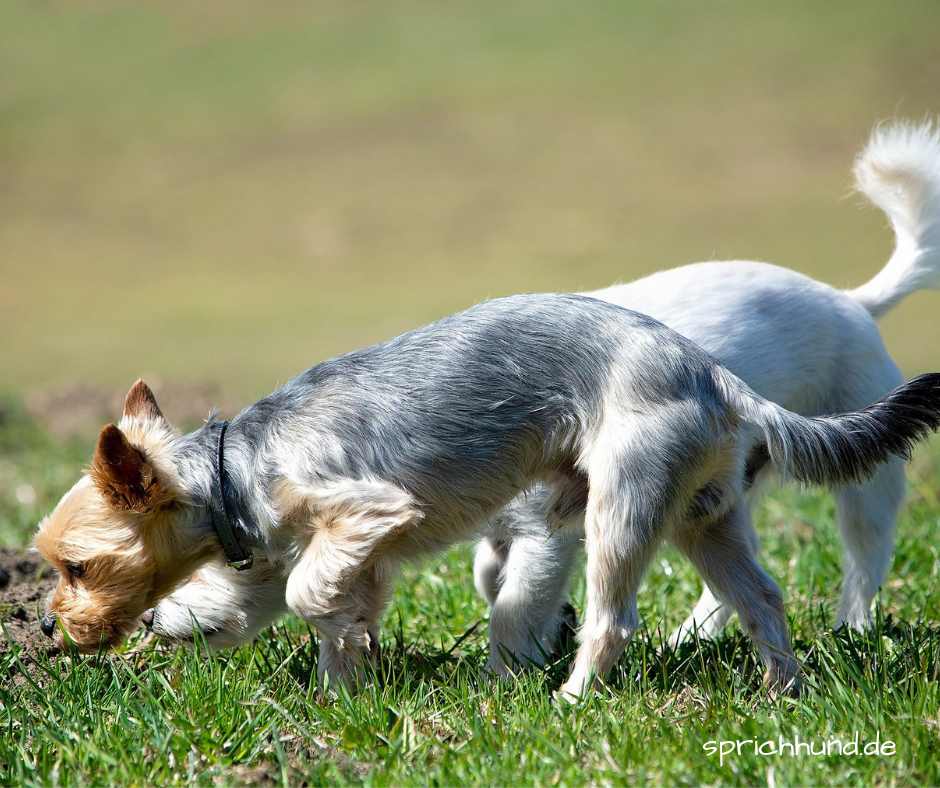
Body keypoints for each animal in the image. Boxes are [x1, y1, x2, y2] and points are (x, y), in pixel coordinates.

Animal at [35, 292, 940, 700]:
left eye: (76, 567)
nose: (46, 625)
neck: (237, 465)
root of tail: (712, 374)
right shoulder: (359, 551)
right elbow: (338, 613)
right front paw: (340, 692)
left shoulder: (369, 509)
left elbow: (305, 592)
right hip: (703, 515)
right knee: (761, 595)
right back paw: (784, 690)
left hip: (623, 504)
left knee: (612, 618)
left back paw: (571, 699)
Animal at [149, 118, 940, 672]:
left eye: (200, 554)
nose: (148, 624)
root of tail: (852, 300)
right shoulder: (505, 531)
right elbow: (490, 580)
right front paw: (544, 635)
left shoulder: (546, 529)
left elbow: (508, 607)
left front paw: (509, 675)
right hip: (714, 502)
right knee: (740, 590)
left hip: (853, 492)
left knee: (862, 565)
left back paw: (847, 630)